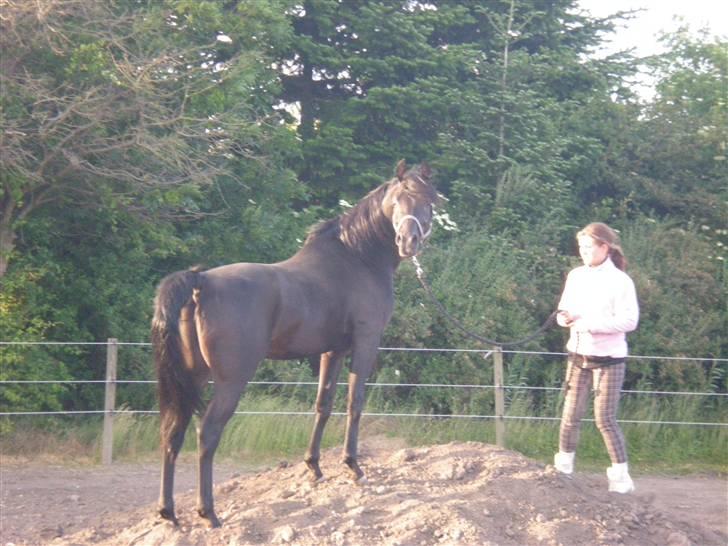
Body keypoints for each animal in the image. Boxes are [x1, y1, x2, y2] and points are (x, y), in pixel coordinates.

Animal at [152, 159, 438, 524]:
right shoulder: (366, 341)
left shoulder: (333, 350)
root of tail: (200, 281)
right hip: (230, 381)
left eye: (429, 200)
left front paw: (314, 466)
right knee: (207, 432)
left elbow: (323, 404)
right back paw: (209, 513)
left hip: (192, 377)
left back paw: (168, 511)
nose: (408, 240)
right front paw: (353, 466)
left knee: (173, 431)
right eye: (399, 197)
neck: (357, 258)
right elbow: (354, 402)